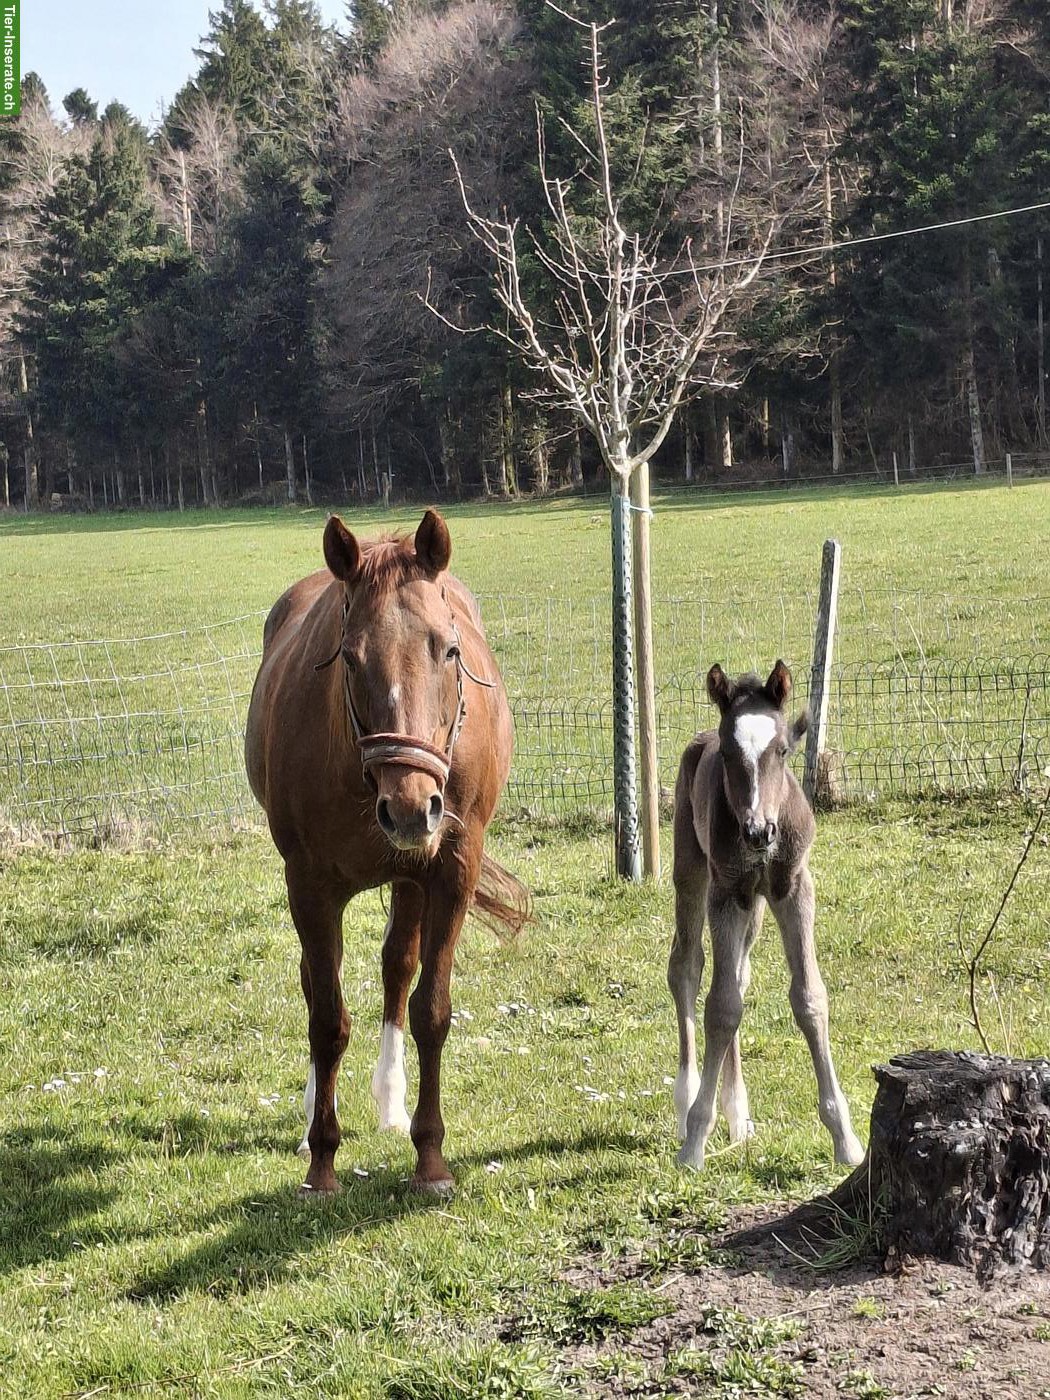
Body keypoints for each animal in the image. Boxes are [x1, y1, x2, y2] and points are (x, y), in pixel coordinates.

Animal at [245, 509, 528, 1196]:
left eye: (448, 648)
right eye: (349, 657)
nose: (410, 806)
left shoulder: (450, 872)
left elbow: (430, 1009)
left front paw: (431, 1159)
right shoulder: (310, 886)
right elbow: (326, 1017)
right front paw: (322, 1162)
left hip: (410, 877)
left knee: (397, 969)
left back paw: (392, 1105)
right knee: (317, 985)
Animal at [667, 660, 865, 1172]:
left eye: (782, 749)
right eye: (728, 751)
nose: (759, 832)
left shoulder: (793, 888)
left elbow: (810, 999)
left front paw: (846, 1138)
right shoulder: (725, 893)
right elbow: (720, 1007)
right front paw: (695, 1141)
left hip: (753, 906)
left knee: (738, 975)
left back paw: (737, 1113)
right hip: (692, 874)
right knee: (687, 968)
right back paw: (687, 1106)